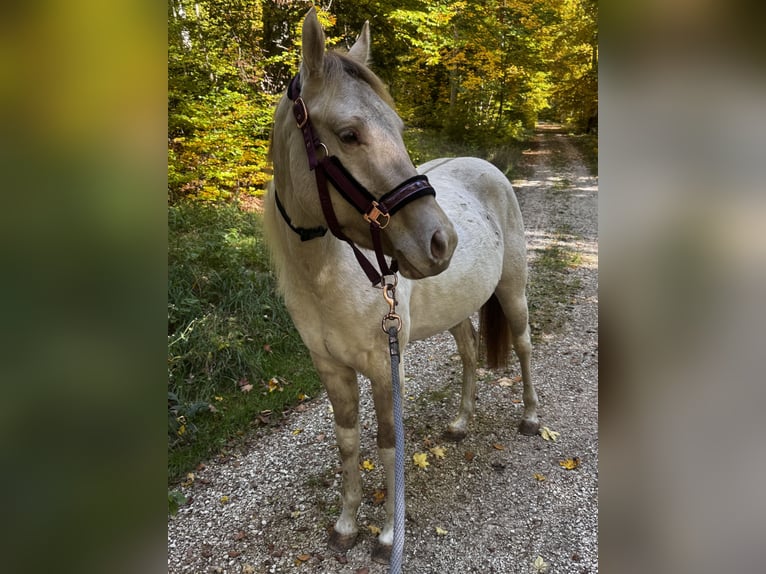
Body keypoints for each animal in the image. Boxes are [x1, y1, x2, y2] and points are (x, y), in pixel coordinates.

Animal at [263, 8, 539, 564]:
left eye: (398, 126)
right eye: (349, 135)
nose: (442, 241)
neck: (326, 276)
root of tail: (486, 166)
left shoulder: (383, 367)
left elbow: (389, 444)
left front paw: (389, 535)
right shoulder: (331, 370)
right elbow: (348, 443)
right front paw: (346, 525)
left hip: (512, 292)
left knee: (522, 345)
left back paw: (530, 417)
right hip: (456, 310)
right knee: (470, 352)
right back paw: (460, 423)